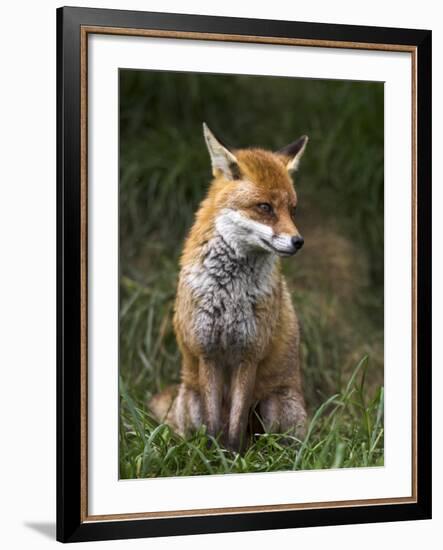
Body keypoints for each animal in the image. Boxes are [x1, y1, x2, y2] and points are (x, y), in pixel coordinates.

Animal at [150, 124, 308, 452]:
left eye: (293, 210)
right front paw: (214, 456)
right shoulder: (208, 352)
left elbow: (235, 427)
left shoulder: (249, 353)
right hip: (192, 399)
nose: (298, 242)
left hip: (275, 405)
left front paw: (234, 456)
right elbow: (214, 425)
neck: (230, 292)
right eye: (265, 207)